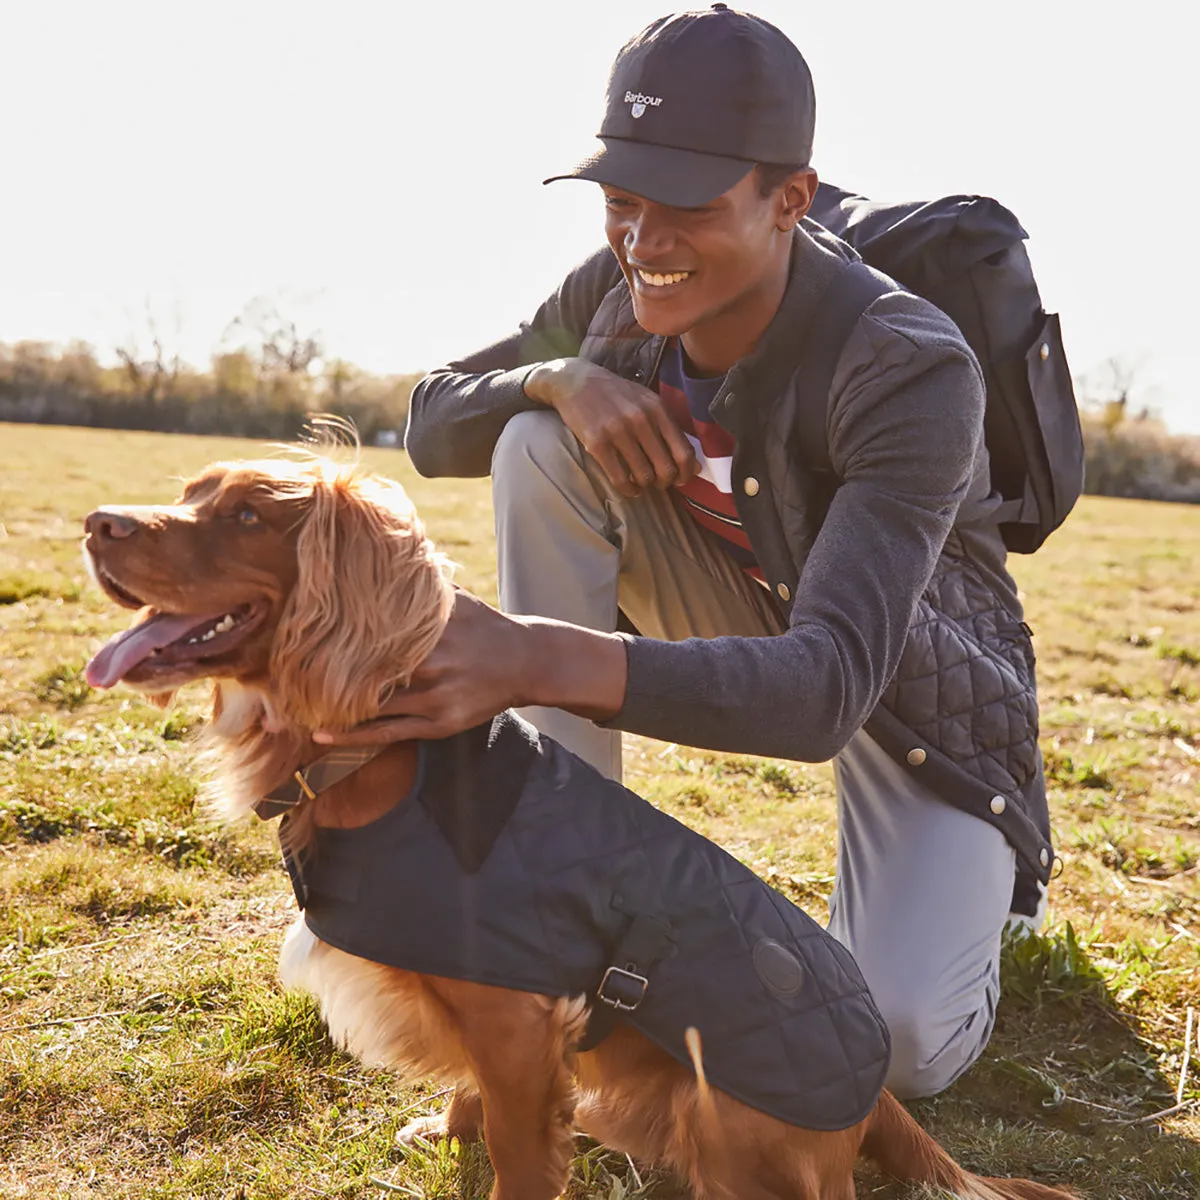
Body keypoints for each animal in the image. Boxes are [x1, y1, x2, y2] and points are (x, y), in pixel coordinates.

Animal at [84, 451, 1080, 1200]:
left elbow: (520, 1154)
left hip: (721, 1111)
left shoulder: (517, 1022)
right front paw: (448, 1130)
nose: (98, 523)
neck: (375, 762)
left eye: (250, 515)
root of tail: (878, 1098)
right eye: (189, 494)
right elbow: (477, 1100)